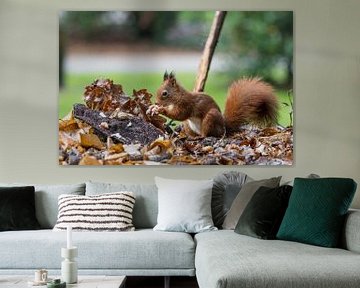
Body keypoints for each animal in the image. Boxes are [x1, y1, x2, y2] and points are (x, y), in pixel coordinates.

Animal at [148, 70, 280, 137]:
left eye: (165, 93)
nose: (156, 102)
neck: (177, 97)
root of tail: (224, 128)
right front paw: (153, 108)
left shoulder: (186, 104)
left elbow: (179, 115)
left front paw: (160, 110)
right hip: (188, 125)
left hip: (210, 118)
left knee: (207, 135)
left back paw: (201, 137)